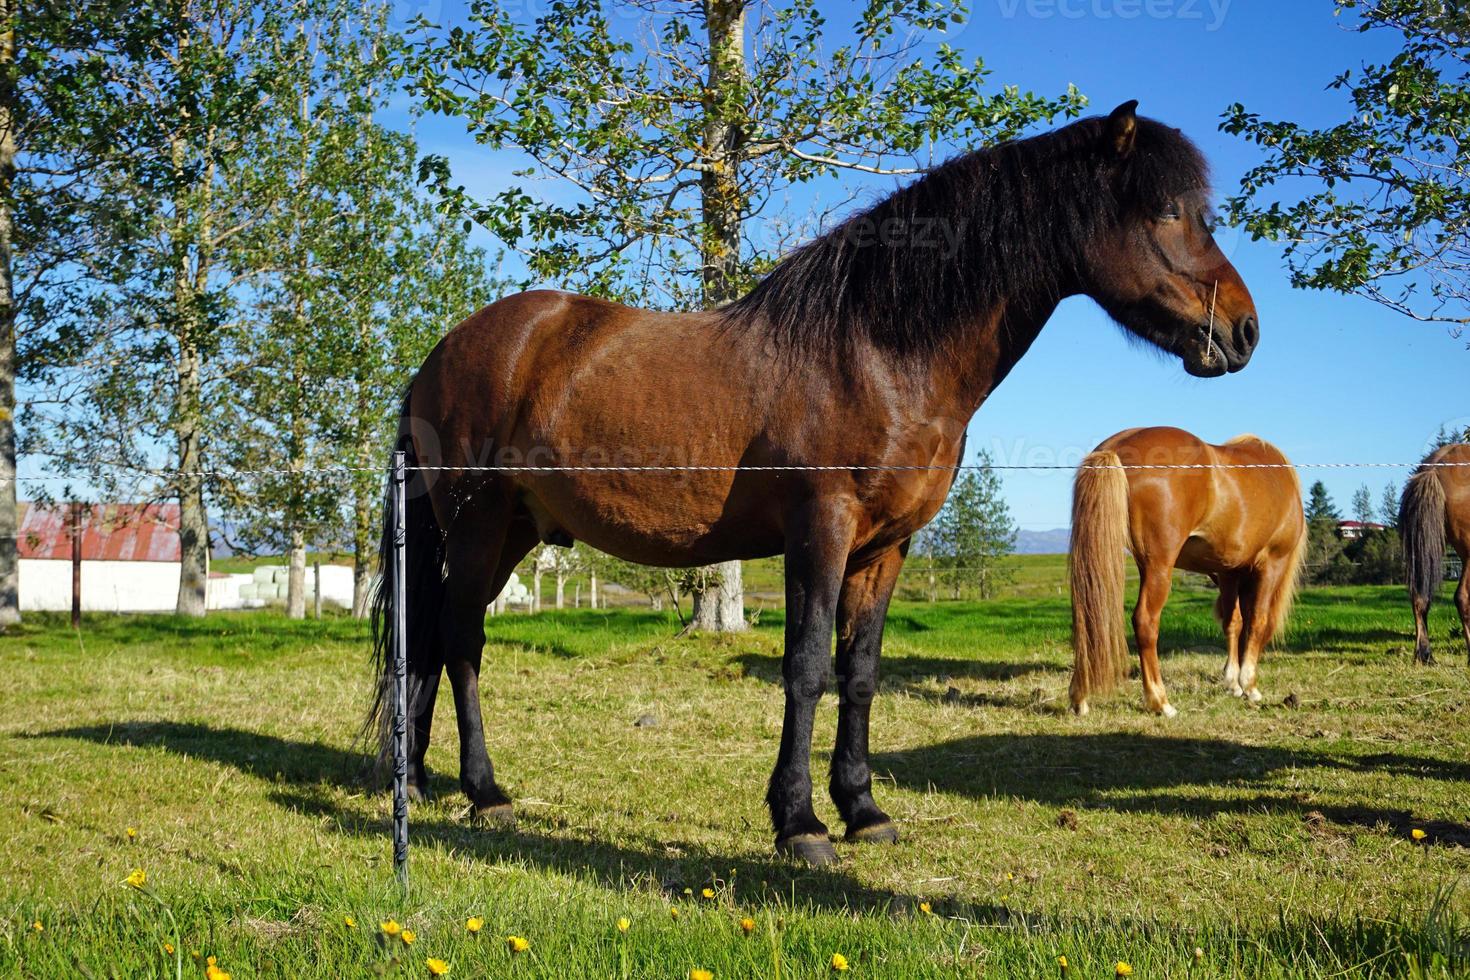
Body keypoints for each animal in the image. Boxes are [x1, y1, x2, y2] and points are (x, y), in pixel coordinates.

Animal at [373, 101, 1258, 863]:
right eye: (1165, 211)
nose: (1243, 331)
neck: (874, 350)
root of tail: (443, 353)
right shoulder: (819, 532)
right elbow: (804, 668)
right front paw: (799, 823)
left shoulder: (885, 548)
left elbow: (859, 674)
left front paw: (863, 809)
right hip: (479, 524)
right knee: (461, 640)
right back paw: (485, 793)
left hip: (510, 533)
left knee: (431, 637)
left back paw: (412, 781)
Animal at [1064, 429, 1305, 719]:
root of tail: (1115, 448)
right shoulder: (1271, 562)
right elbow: (1257, 620)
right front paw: (1249, 685)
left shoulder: (1228, 571)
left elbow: (1233, 622)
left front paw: (1232, 682)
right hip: (1159, 566)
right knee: (1146, 622)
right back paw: (1160, 701)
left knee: (1087, 619)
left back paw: (1080, 698)